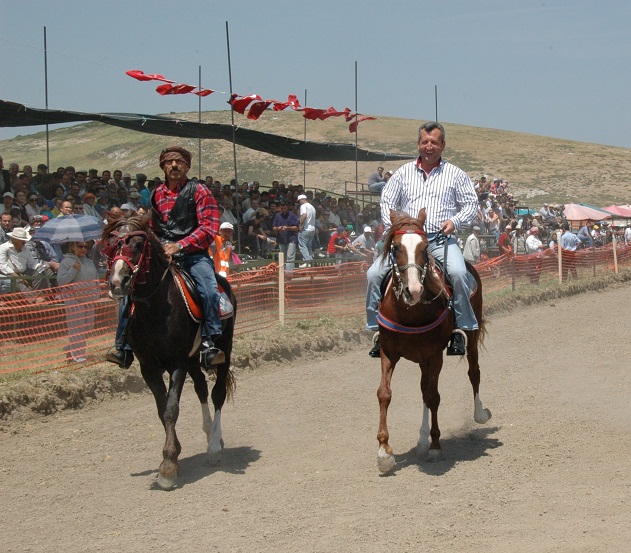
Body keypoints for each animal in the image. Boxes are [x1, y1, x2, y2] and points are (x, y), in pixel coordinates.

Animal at [103, 215, 237, 488]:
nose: (118, 282)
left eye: (138, 243)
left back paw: (214, 447)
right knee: (201, 388)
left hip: (224, 351)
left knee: (217, 393)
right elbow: (161, 409)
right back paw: (210, 435)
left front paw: (167, 466)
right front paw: (173, 455)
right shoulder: (148, 367)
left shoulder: (177, 363)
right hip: (194, 359)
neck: (154, 309)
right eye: (111, 243)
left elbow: (171, 409)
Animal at [378, 209, 492, 472]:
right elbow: (385, 394)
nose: (413, 290)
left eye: (424, 246)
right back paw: (421, 439)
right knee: (423, 389)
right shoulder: (388, 352)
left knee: (474, 372)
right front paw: (384, 451)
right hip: (421, 359)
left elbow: (434, 397)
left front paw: (435, 446)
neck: (409, 312)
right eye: (396, 247)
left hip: (470, 337)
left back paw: (480, 414)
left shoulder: (434, 354)